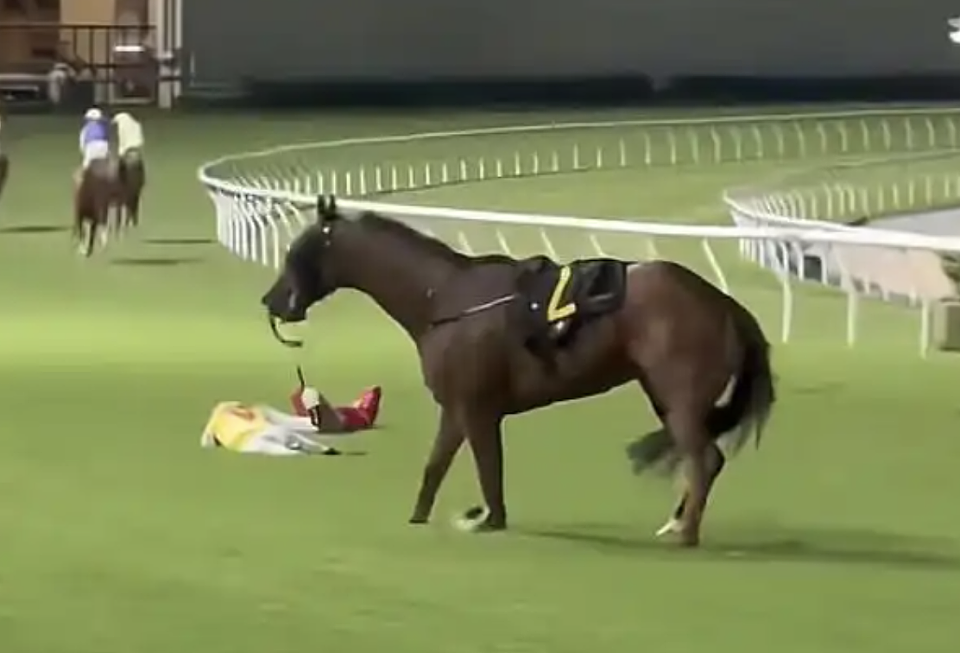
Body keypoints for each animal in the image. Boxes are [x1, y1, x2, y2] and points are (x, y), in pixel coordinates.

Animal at [261, 196, 776, 548]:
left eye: (297, 250)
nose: (271, 300)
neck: (444, 298)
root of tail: (723, 302)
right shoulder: (456, 408)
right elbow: (435, 467)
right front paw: (420, 517)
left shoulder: (477, 408)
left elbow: (489, 468)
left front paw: (487, 519)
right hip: (663, 394)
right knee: (701, 459)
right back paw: (676, 521)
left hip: (680, 396)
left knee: (703, 460)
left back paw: (685, 532)